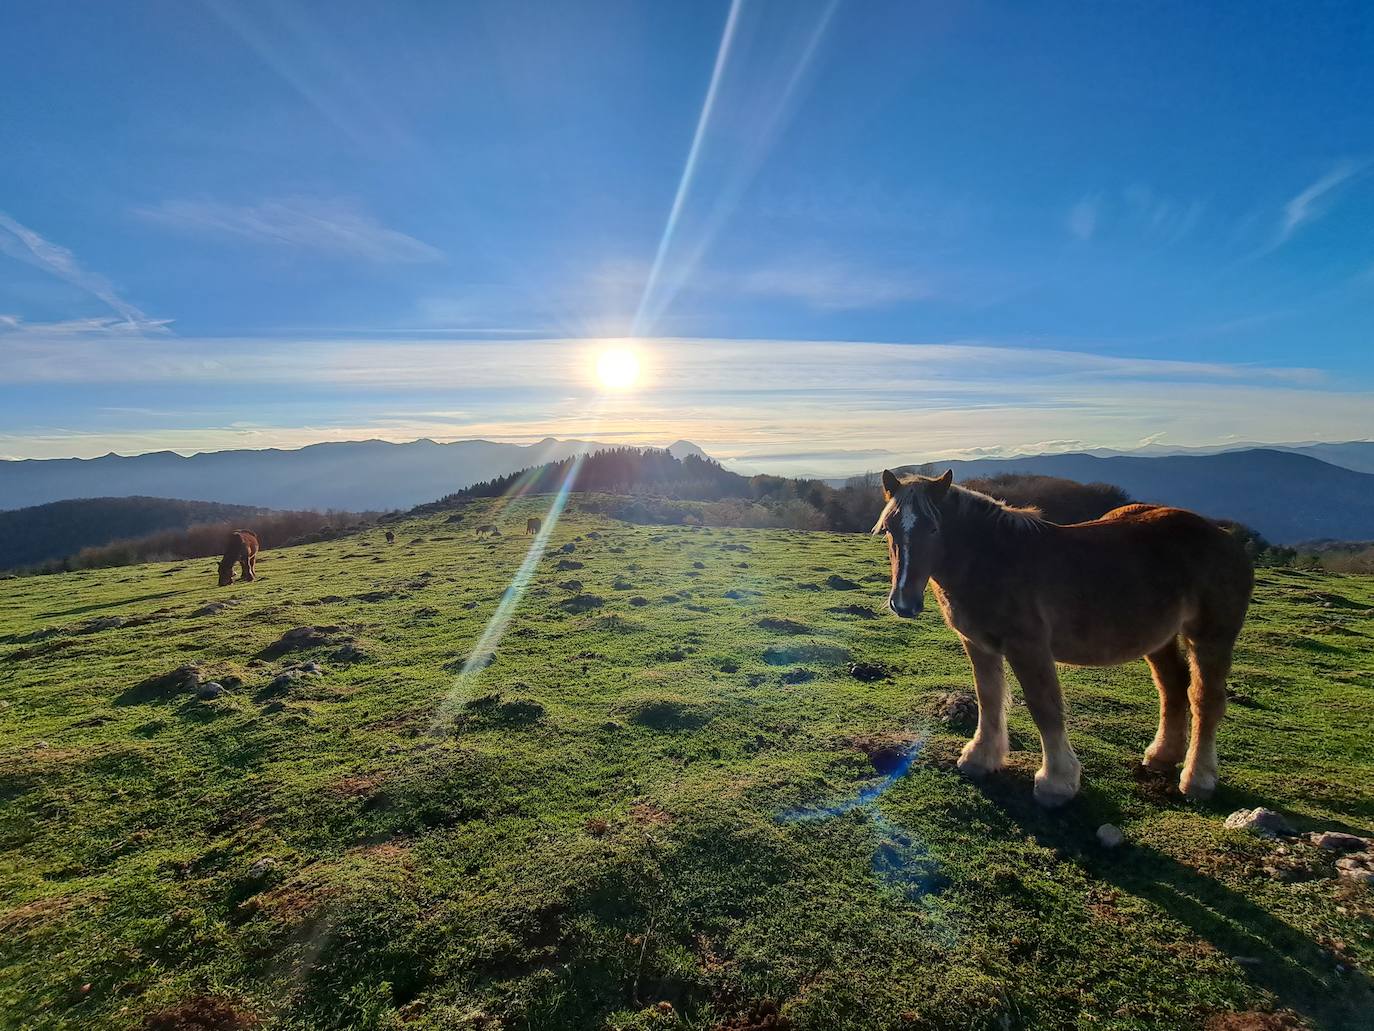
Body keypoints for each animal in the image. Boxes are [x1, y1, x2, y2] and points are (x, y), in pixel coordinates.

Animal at [873, 467, 1253, 808]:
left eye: (934, 527)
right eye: (890, 529)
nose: (903, 603)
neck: (993, 559)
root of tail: (1225, 537)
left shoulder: (1028, 646)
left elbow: (1045, 707)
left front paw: (1056, 782)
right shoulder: (978, 644)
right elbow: (989, 697)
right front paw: (980, 758)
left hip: (1211, 636)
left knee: (1205, 699)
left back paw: (1197, 779)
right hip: (1160, 639)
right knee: (1172, 687)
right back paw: (1161, 756)